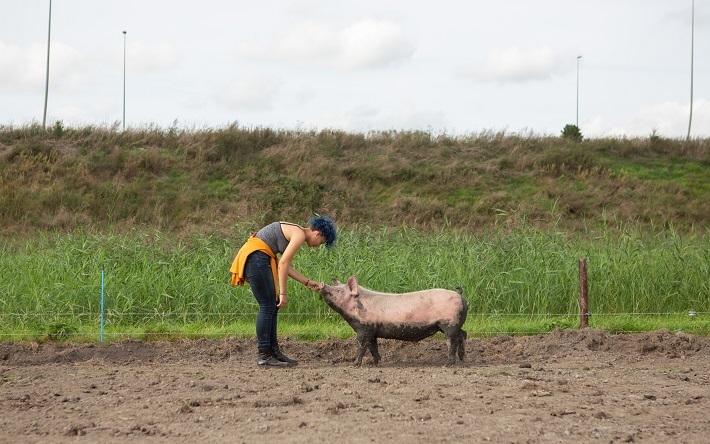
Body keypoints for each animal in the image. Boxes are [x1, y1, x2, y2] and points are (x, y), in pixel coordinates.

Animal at [320, 276, 470, 366]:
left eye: (339, 291)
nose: (322, 284)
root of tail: (459, 295)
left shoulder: (364, 328)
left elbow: (361, 345)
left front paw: (354, 365)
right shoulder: (373, 330)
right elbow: (373, 347)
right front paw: (377, 363)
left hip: (449, 323)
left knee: (452, 340)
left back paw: (448, 364)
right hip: (453, 323)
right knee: (463, 333)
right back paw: (462, 358)